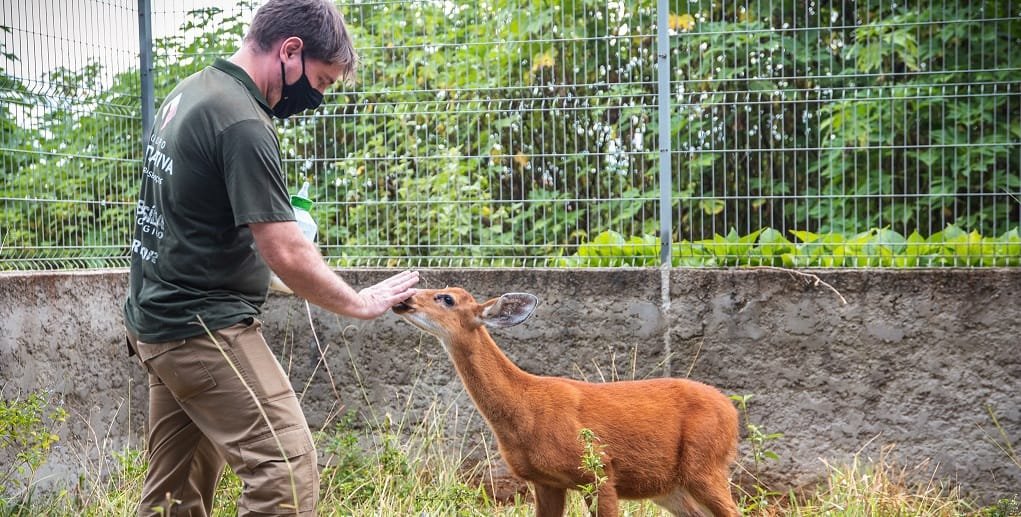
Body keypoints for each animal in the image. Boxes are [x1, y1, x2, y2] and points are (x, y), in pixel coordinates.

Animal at [393, 287, 740, 517]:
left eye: (446, 298)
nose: (405, 299)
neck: (525, 409)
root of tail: (732, 410)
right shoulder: (545, 481)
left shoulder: (599, 468)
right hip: (671, 487)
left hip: (705, 463)